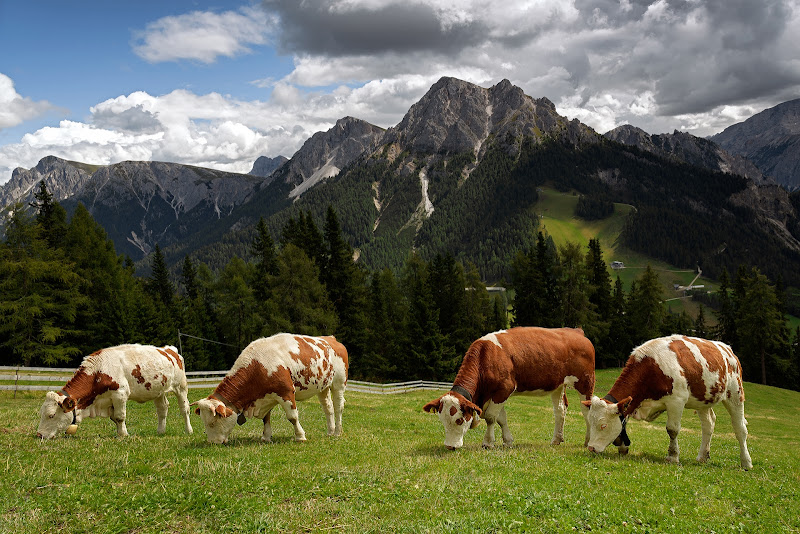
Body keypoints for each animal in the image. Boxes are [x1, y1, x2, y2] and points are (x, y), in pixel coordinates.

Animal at [37, 346, 194, 442]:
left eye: (51, 415)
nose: (39, 435)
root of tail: (169, 349)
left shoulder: (120, 394)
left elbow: (119, 417)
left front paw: (124, 434)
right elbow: (114, 418)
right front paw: (119, 433)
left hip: (181, 387)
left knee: (184, 409)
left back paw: (189, 430)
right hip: (158, 391)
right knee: (162, 409)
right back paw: (160, 431)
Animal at [193, 338, 346, 446]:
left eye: (212, 423)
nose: (212, 443)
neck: (258, 365)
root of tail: (331, 338)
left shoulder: (286, 393)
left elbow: (292, 417)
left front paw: (300, 436)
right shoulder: (266, 397)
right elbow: (266, 418)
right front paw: (266, 437)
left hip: (339, 384)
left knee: (338, 408)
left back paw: (337, 432)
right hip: (323, 387)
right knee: (328, 408)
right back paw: (330, 431)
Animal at [422, 326, 596, 452]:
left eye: (459, 419)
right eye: (442, 420)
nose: (449, 446)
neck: (486, 357)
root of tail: (575, 331)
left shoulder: (504, 389)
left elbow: (490, 417)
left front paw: (488, 442)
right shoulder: (497, 393)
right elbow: (501, 419)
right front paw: (508, 441)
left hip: (585, 382)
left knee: (587, 411)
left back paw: (588, 441)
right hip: (558, 385)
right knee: (560, 410)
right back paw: (556, 440)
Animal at [580, 338, 752, 472]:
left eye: (603, 425)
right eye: (590, 422)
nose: (591, 448)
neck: (652, 367)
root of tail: (727, 349)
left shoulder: (676, 401)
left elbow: (672, 430)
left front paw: (673, 456)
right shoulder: (631, 403)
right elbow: (623, 423)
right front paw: (622, 447)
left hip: (735, 394)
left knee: (740, 429)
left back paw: (746, 462)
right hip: (703, 400)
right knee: (708, 425)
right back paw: (702, 456)